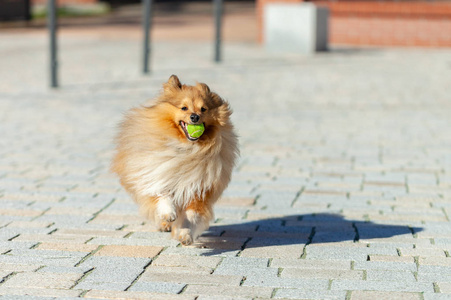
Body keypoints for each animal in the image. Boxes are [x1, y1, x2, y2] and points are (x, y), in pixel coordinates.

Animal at [112, 74, 238, 244]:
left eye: (203, 109)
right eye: (184, 108)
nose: (195, 117)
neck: (187, 149)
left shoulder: (199, 188)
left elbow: (191, 216)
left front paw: (185, 234)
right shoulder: (156, 174)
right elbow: (163, 194)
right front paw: (168, 214)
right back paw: (165, 224)